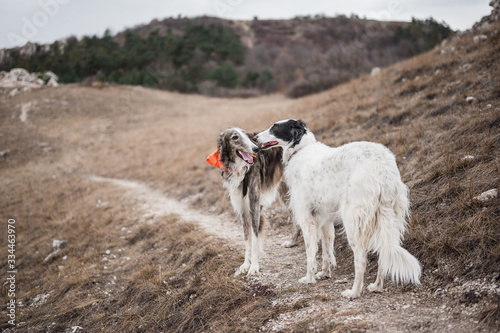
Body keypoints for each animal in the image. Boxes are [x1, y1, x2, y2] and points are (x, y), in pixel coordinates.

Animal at [254, 119, 422, 298]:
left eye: (275, 128)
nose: (255, 138)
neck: (300, 149)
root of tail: (383, 168)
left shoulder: (307, 220)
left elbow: (311, 253)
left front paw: (309, 278)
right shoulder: (324, 219)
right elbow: (327, 250)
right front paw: (324, 273)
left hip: (353, 222)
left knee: (361, 260)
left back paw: (354, 292)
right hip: (388, 219)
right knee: (384, 253)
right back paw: (377, 286)